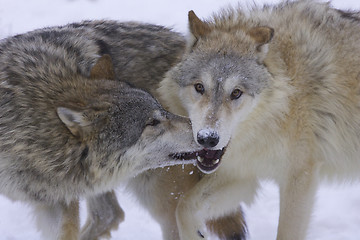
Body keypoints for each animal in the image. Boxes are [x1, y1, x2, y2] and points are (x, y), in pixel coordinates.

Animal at [0, 22, 205, 240]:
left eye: (161, 110)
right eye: (152, 122)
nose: (207, 135)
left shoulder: (62, 203)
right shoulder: (55, 199)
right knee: (110, 214)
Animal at [158, 0, 360, 239]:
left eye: (236, 93)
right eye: (199, 87)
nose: (207, 138)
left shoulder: (300, 177)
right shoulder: (243, 172)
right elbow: (183, 208)